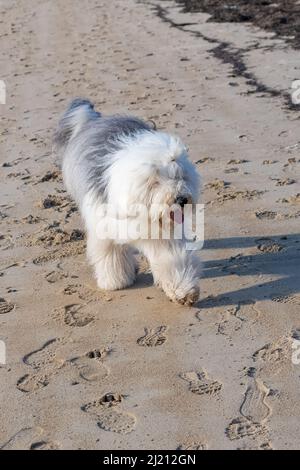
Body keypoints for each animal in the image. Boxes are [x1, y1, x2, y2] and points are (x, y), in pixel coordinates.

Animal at [55, 99, 202, 304]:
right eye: (156, 181)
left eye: (179, 176)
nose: (181, 199)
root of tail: (96, 120)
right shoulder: (103, 224)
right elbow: (111, 253)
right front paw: (116, 281)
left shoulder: (163, 234)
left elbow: (171, 257)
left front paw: (183, 290)